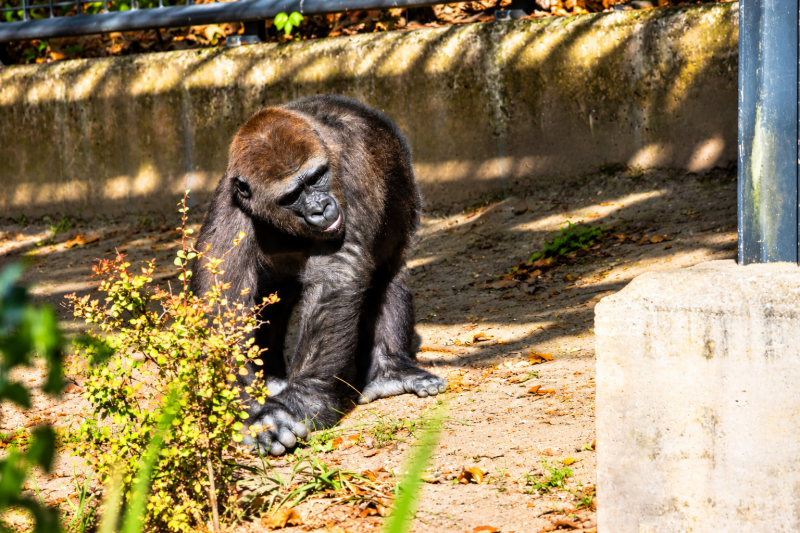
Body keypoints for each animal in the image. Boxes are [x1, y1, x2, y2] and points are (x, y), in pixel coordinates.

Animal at [191, 95, 448, 456]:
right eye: (291, 196)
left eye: (315, 179)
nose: (320, 208)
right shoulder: (232, 196)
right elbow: (221, 290)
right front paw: (241, 405)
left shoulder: (352, 169)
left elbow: (336, 278)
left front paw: (298, 403)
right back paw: (272, 380)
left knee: (385, 278)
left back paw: (390, 371)